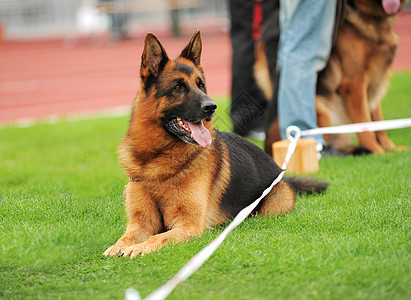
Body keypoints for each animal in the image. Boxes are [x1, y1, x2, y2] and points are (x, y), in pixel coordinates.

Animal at [258, 0, 408, 155]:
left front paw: (390, 149)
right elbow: (365, 125)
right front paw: (377, 151)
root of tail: (268, 146)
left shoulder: (374, 82)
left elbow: (378, 122)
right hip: (324, 111)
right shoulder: (353, 84)